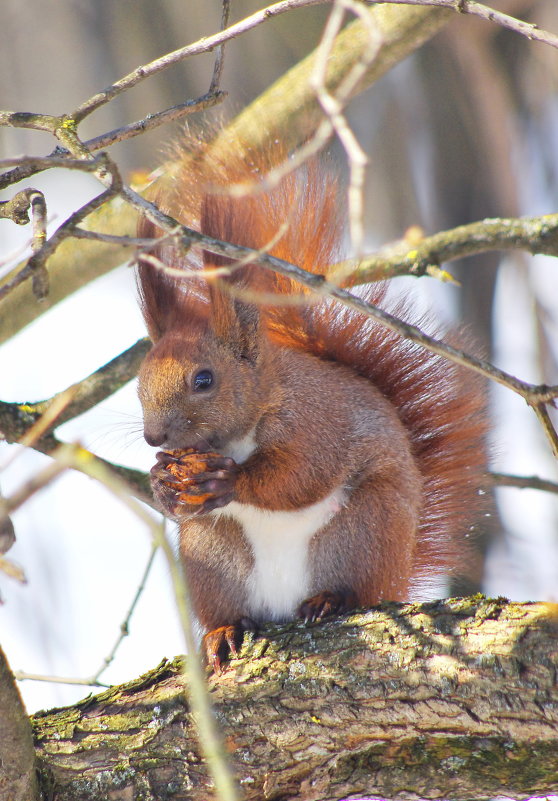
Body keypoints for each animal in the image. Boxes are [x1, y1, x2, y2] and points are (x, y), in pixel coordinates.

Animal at [137, 136, 490, 668]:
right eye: (138, 381)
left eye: (204, 379)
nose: (153, 436)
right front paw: (162, 481)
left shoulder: (316, 420)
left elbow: (301, 475)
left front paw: (229, 480)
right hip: (211, 556)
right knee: (225, 607)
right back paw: (222, 631)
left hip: (366, 529)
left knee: (357, 588)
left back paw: (330, 600)